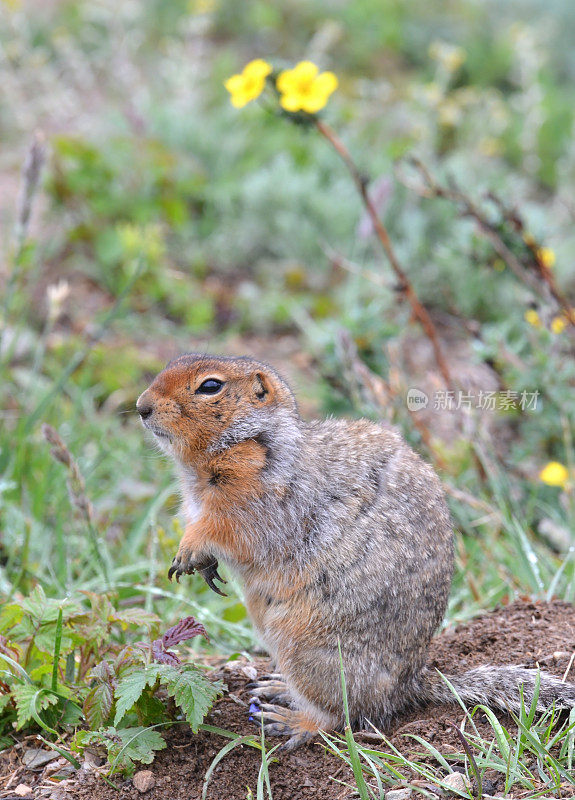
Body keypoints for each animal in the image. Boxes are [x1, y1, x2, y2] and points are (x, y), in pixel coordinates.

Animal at [138, 354, 575, 748]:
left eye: (210, 386)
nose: (141, 406)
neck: (249, 440)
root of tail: (409, 684)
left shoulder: (255, 493)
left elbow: (226, 529)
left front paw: (188, 551)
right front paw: (200, 564)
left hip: (307, 651)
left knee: (342, 717)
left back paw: (292, 721)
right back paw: (277, 686)